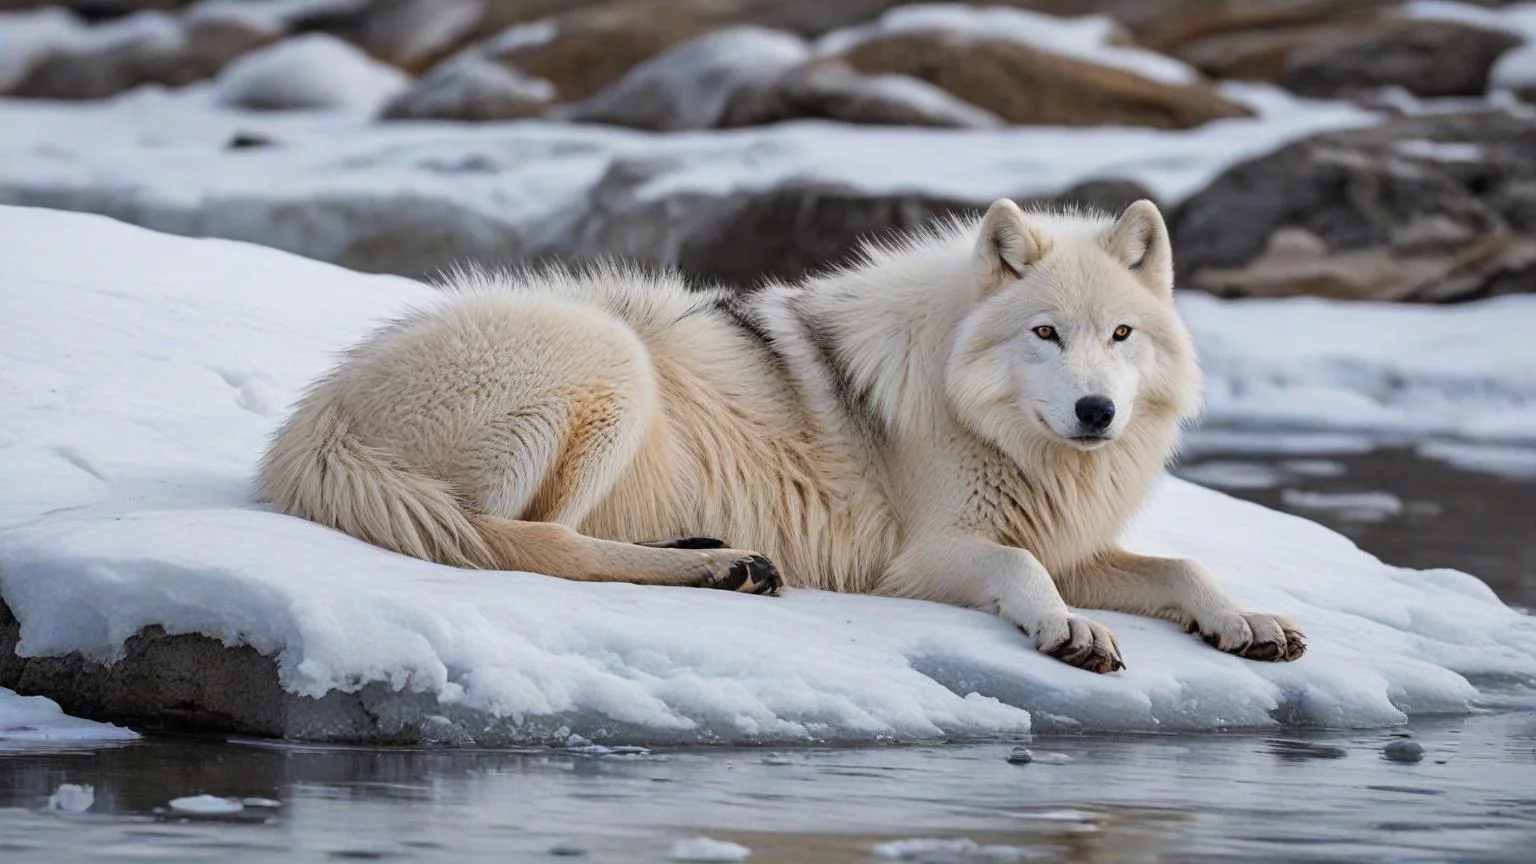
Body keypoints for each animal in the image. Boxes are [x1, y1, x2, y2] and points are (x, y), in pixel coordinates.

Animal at [258, 198, 1305, 673]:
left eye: (1121, 336)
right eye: (1045, 333)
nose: (1097, 413)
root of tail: (314, 421)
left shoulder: (1068, 539)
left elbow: (1182, 568)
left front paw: (1244, 619)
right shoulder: (928, 554)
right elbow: (1021, 573)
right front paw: (1069, 629)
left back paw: (722, 558)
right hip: (612, 362)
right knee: (535, 543)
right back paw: (721, 568)